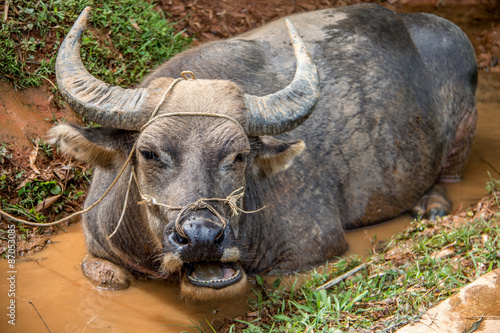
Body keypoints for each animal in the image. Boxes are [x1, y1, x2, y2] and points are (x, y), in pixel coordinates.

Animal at [49, 2, 476, 298]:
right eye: (149, 153)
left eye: (238, 156)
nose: (202, 237)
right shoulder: (98, 248)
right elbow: (109, 277)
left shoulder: (316, 246)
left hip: (463, 128)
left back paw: (432, 205)